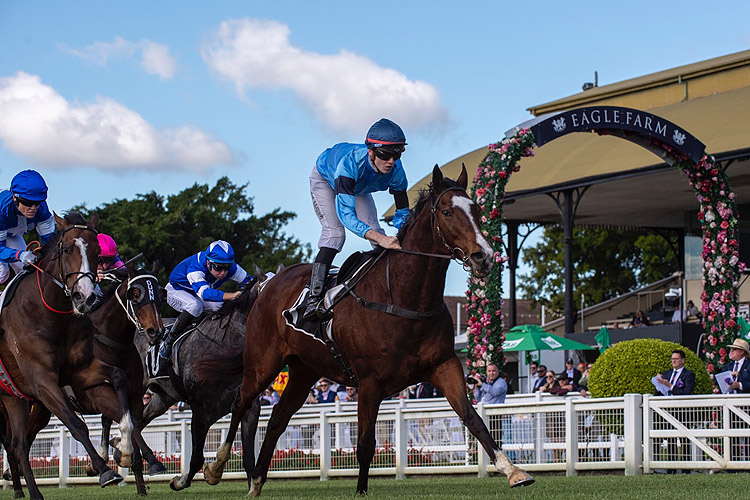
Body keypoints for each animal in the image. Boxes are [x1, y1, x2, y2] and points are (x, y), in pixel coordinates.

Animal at [0, 213, 137, 498]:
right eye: (66, 250)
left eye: (97, 252)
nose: (84, 296)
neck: (49, 314)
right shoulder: (42, 382)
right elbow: (76, 423)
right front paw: (103, 470)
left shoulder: (79, 370)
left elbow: (118, 379)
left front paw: (124, 450)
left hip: (12, 397)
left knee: (18, 444)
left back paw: (31, 492)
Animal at [204, 166, 536, 494]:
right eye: (446, 212)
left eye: (476, 210)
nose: (484, 256)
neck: (404, 298)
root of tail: (268, 284)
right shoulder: (369, 382)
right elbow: (364, 444)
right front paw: (361, 490)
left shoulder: (444, 365)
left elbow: (472, 417)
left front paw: (514, 471)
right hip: (262, 364)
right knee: (240, 404)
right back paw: (215, 468)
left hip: (304, 370)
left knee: (277, 419)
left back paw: (257, 481)